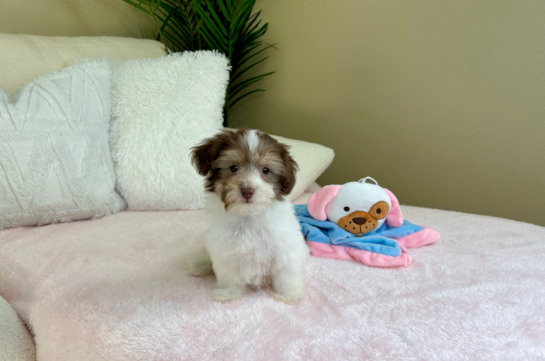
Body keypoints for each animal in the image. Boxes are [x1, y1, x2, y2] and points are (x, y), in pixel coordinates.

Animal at [188, 128, 308, 302]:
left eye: (265, 170)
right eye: (233, 168)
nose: (247, 190)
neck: (248, 216)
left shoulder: (284, 246)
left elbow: (285, 273)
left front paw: (288, 295)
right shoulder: (225, 250)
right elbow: (229, 274)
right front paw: (227, 293)